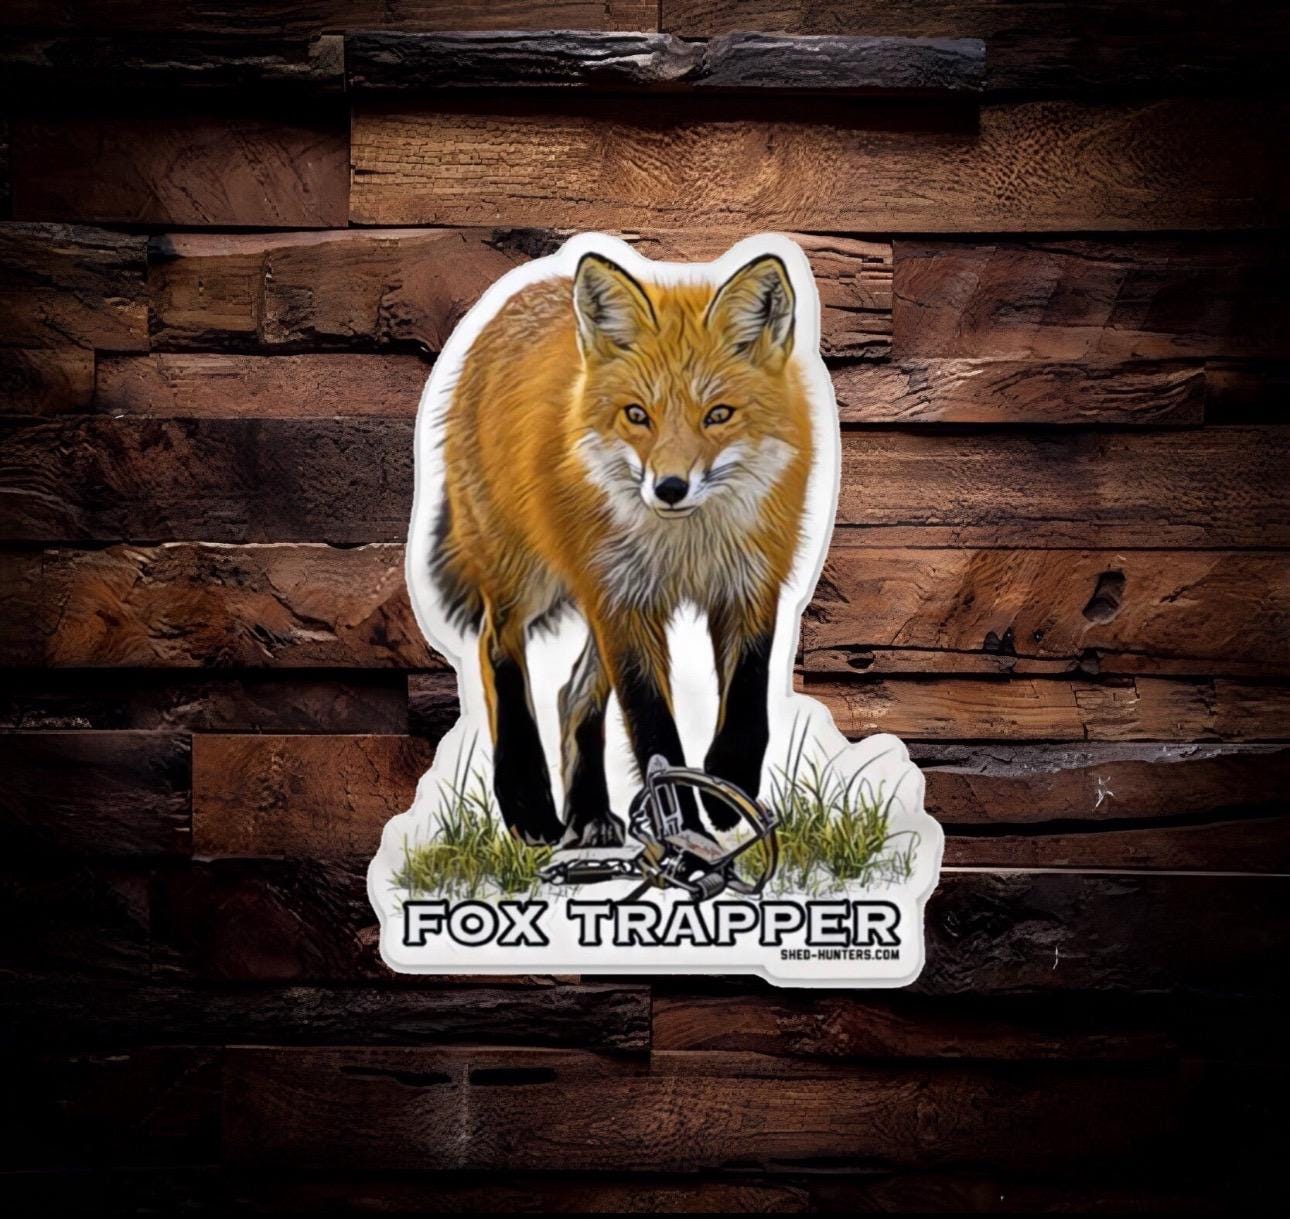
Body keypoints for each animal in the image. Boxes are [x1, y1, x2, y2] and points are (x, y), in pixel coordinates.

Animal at [429, 246, 814, 848]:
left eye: (718, 415)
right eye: (638, 415)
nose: (670, 487)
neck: (687, 548)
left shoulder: (751, 584)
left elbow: (749, 701)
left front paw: (728, 790)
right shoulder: (623, 602)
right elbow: (655, 733)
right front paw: (684, 828)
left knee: (571, 694)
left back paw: (588, 813)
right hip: (529, 579)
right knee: (496, 649)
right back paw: (528, 803)